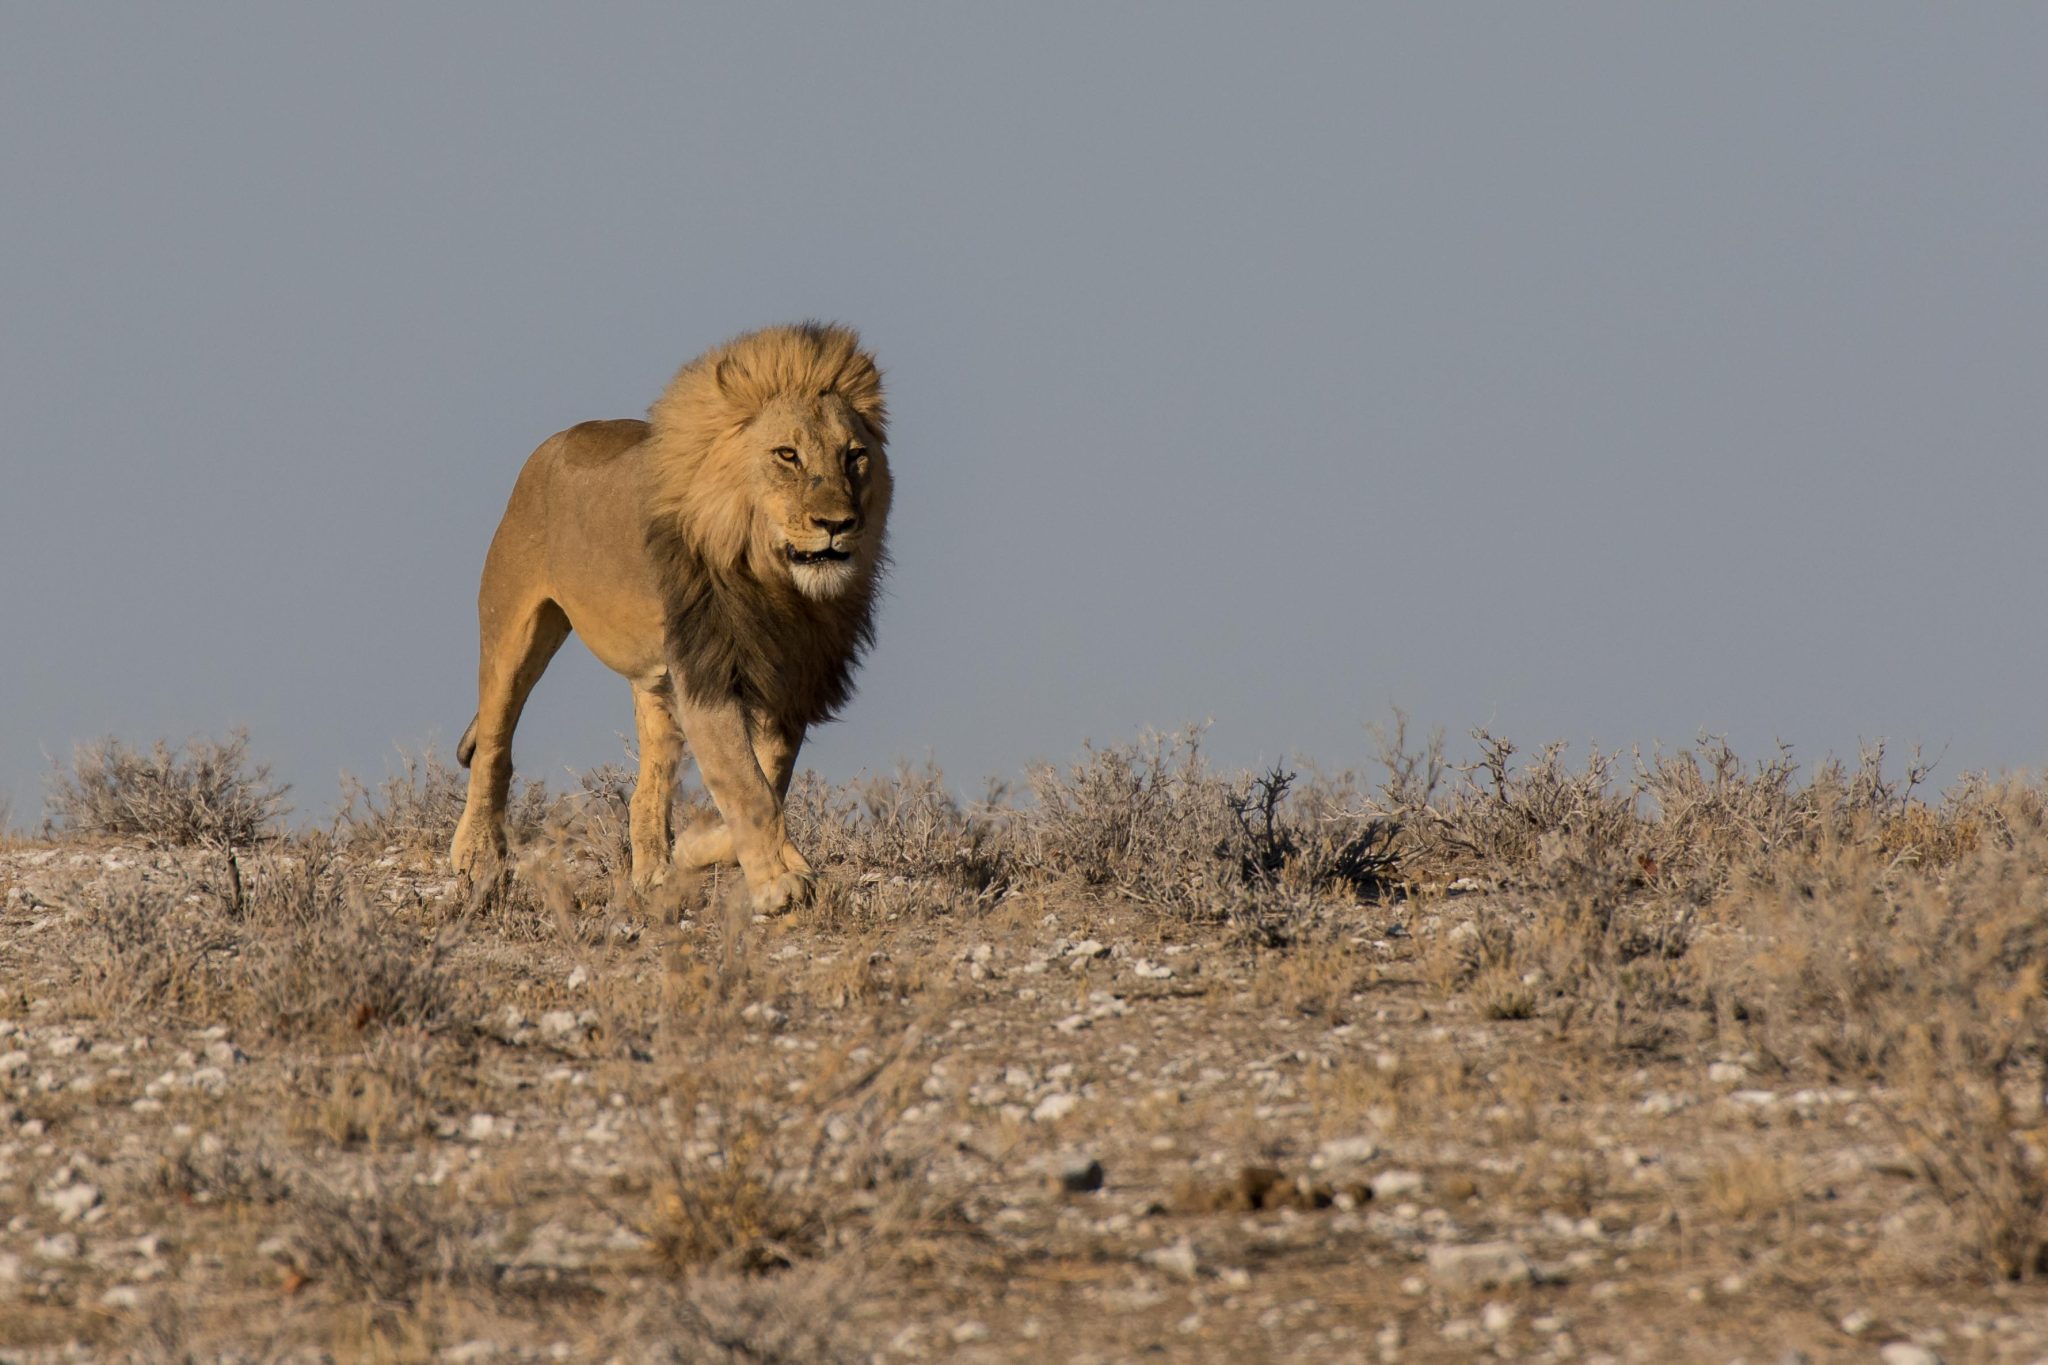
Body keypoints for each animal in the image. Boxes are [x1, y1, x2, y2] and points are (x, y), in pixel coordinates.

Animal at [448, 323, 891, 912]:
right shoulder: (707, 672)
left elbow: (770, 775)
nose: (838, 524)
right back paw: (476, 856)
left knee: (647, 785)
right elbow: (747, 784)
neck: (775, 585)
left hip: (655, 679)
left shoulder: (787, 676)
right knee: (495, 741)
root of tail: (556, 441)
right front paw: (777, 884)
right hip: (512, 624)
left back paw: (654, 873)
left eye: (855, 456)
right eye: (787, 455)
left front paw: (707, 848)